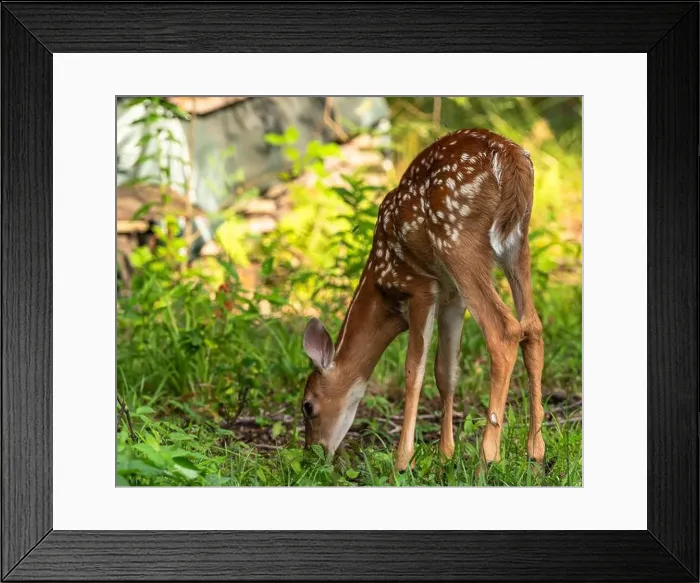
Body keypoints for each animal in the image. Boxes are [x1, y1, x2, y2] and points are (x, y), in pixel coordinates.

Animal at [299, 128, 545, 472]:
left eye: (307, 405)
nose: (313, 453)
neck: (381, 286)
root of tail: (511, 157)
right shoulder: (452, 298)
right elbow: (445, 371)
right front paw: (445, 455)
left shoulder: (420, 287)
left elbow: (413, 371)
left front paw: (403, 460)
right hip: (518, 242)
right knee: (532, 327)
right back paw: (535, 452)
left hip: (457, 240)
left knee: (505, 330)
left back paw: (488, 458)